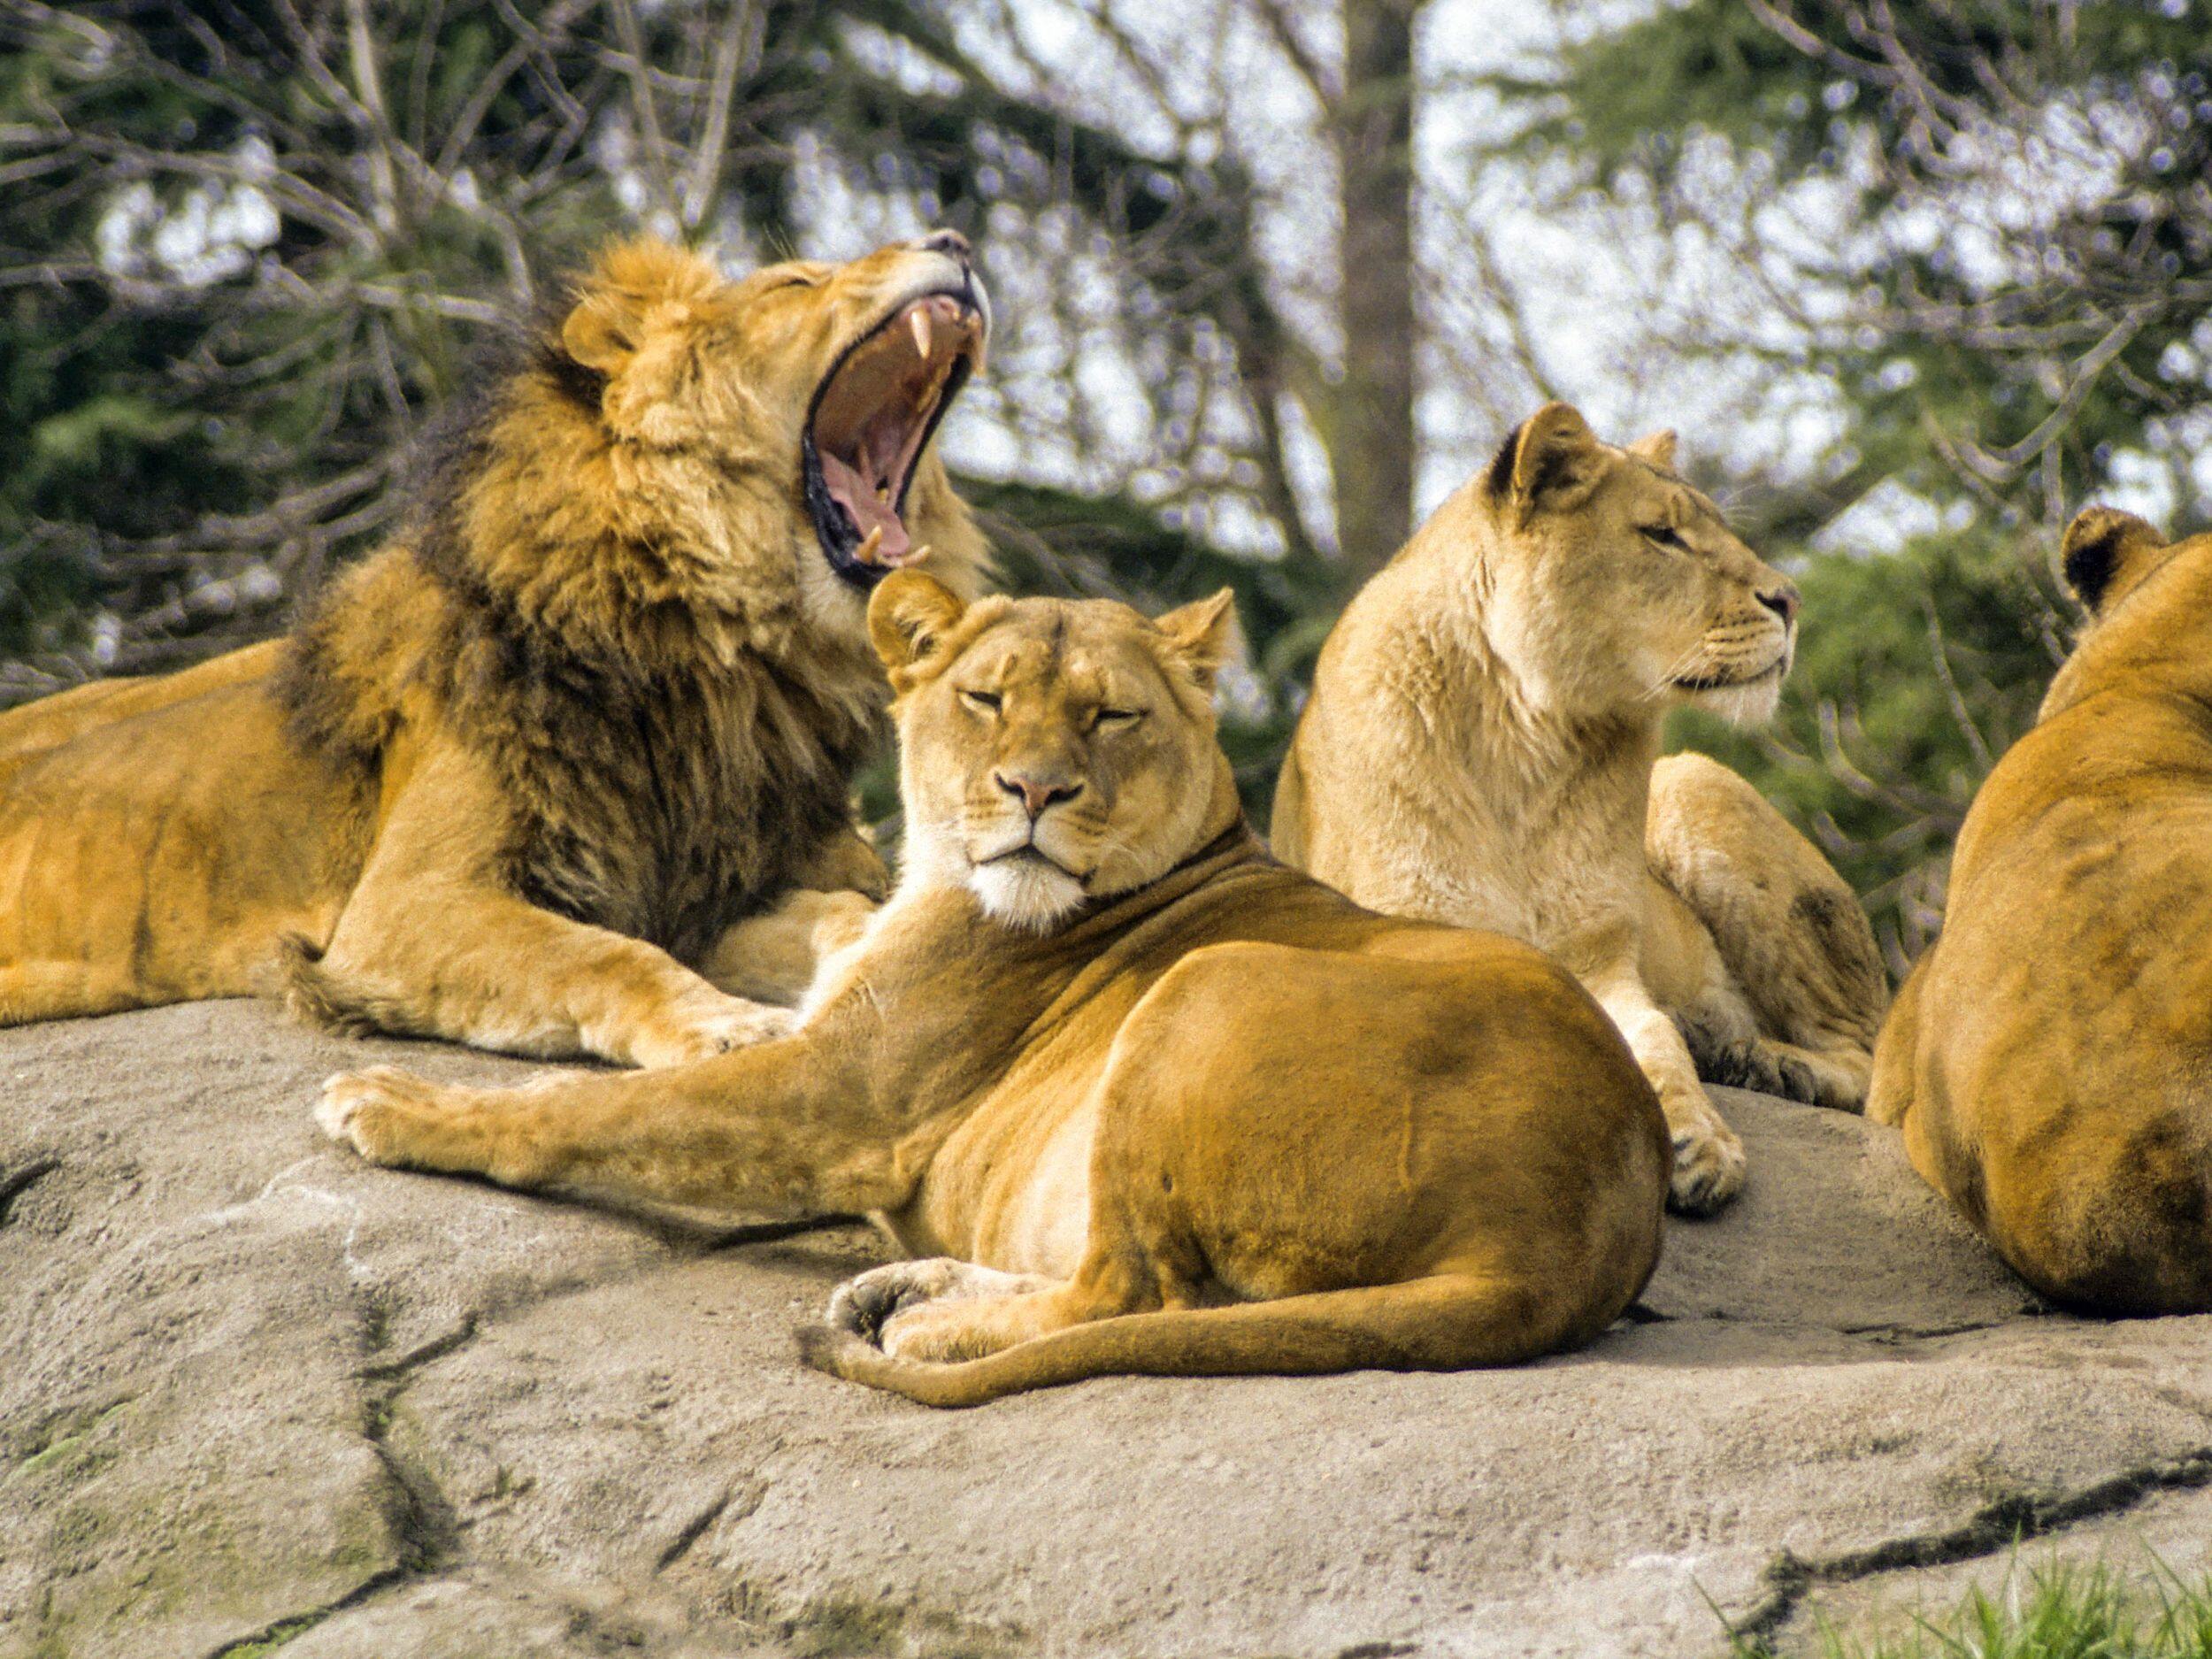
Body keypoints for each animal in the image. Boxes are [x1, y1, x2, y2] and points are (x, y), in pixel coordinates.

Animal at [0, 231, 987, 1066]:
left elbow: (842, 910)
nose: (957, 242)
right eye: (795, 283)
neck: (726, 658)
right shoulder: (405, 904)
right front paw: (726, 1026)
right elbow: (602, 956)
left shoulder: (716, 893)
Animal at [307, 571, 1663, 1407]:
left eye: (1111, 716)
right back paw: (915, 1288)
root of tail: (1557, 1245)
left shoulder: (837, 1095)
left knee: (1132, 1289)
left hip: (1203, 986)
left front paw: (393, 1102)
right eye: (984, 696)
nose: (1034, 790)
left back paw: (930, 1320)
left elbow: (585, 1113)